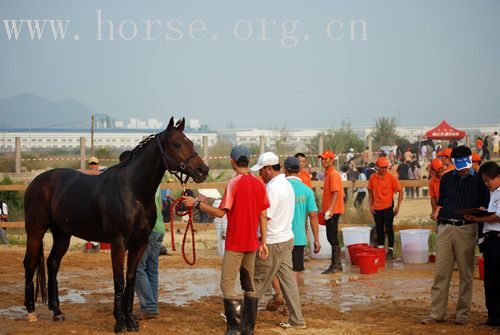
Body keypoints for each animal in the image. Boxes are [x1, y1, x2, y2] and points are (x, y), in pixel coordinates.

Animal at [23, 118, 209, 334]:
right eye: (177, 144)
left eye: (191, 143)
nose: (203, 170)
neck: (133, 191)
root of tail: (37, 182)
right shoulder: (118, 242)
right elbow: (119, 281)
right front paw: (119, 322)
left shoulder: (140, 243)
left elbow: (131, 280)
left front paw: (131, 321)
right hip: (35, 231)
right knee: (29, 263)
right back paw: (31, 311)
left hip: (62, 234)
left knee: (52, 264)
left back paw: (57, 311)